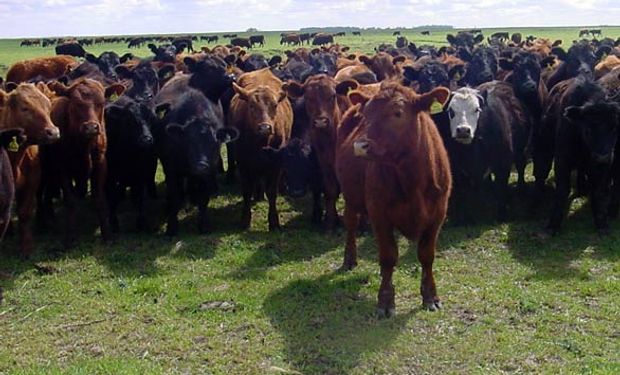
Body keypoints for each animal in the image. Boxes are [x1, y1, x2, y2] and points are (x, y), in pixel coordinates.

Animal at [0, 83, 60, 258]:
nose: (54, 132)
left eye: (48, 106)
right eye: (24, 108)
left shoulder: (33, 180)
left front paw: (26, 246)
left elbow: (25, 212)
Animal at [42, 78, 124, 248]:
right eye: (76, 103)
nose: (91, 127)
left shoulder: (100, 163)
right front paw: (70, 237)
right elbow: (70, 200)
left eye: (101, 102)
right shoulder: (62, 168)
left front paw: (107, 235)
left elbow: (100, 199)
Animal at [228, 69, 294, 231]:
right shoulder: (243, 162)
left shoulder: (275, 164)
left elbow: (272, 192)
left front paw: (274, 221)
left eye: (275, 105)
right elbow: (246, 190)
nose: (265, 128)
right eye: (251, 106)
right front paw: (245, 219)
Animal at [336, 82, 452, 318]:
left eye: (397, 113)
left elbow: (427, 256)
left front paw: (430, 297)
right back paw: (349, 259)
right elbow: (388, 256)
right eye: (366, 114)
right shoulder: (379, 214)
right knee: (351, 224)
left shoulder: (438, 214)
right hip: (350, 196)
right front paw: (385, 300)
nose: (360, 146)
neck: (413, 181)